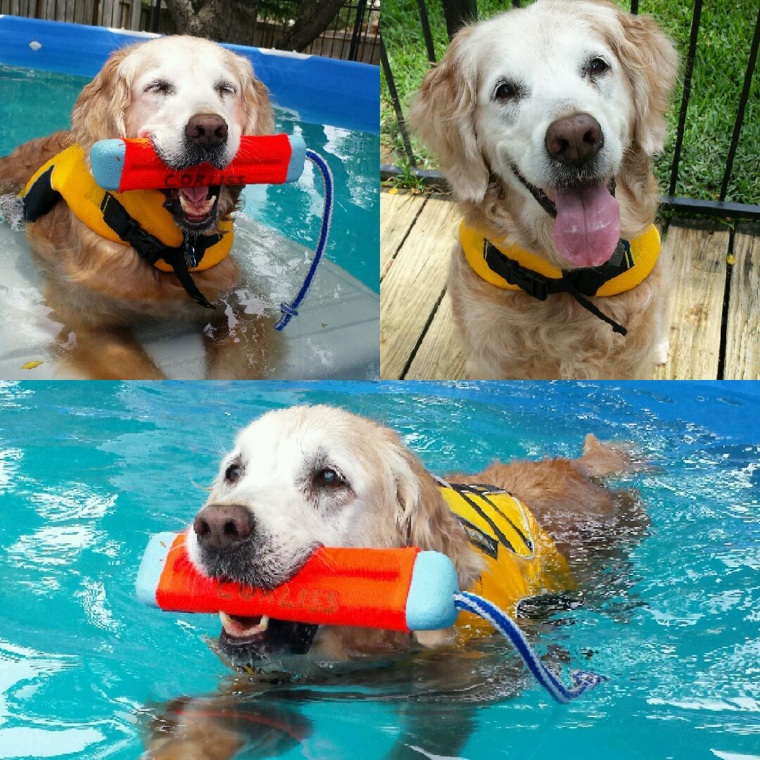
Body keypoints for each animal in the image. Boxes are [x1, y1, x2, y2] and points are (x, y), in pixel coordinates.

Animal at [0, 35, 278, 380]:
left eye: (226, 89)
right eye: (158, 87)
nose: (209, 130)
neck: (168, 247)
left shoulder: (242, 306)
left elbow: (232, 373)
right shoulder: (82, 316)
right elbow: (144, 376)